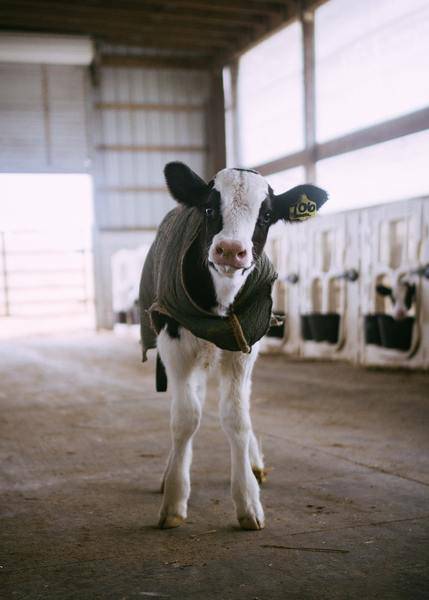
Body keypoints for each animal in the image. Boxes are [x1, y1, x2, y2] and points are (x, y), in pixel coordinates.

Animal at [140, 161, 328, 528]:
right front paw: (174, 500)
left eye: (266, 215)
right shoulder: (173, 342)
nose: (229, 250)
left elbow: (237, 417)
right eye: (210, 208)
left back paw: (254, 464)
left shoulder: (245, 345)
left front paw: (248, 501)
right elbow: (185, 418)